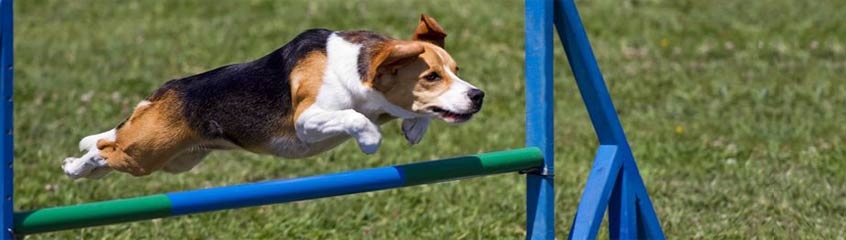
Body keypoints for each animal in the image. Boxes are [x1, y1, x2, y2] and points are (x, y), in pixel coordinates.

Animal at [61, 14, 484, 179]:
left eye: (455, 70)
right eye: (431, 76)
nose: (478, 95)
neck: (356, 67)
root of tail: (164, 90)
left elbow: (411, 116)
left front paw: (413, 129)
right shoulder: (308, 120)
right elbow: (358, 120)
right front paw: (369, 140)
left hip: (177, 160)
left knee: (107, 147)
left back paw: (83, 167)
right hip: (147, 151)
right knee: (105, 147)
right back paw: (73, 166)